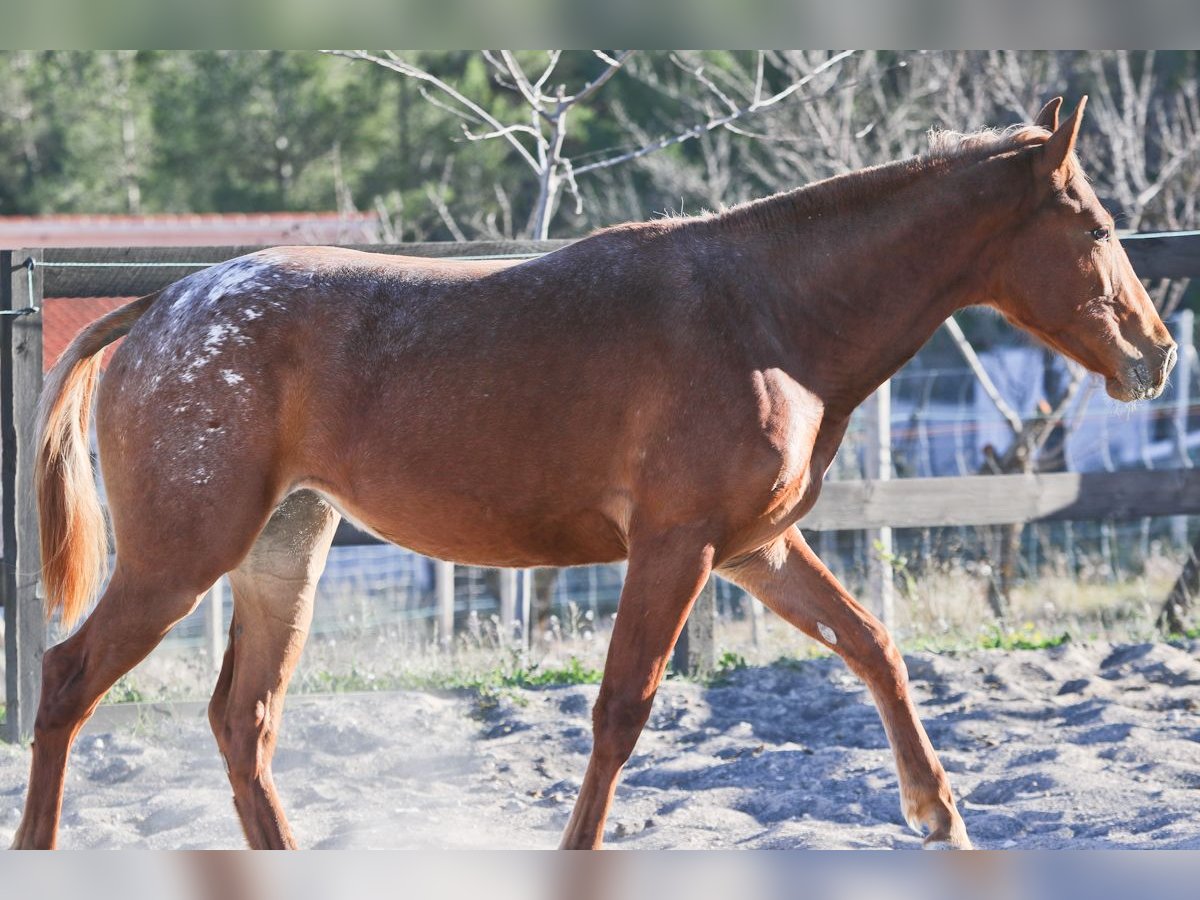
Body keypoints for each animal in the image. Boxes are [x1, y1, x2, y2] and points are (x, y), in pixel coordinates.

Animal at [11, 98, 1171, 854]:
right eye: (1098, 226)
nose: (1157, 354)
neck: (766, 316)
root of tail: (158, 307)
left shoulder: (755, 550)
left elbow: (874, 647)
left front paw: (940, 816)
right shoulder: (676, 547)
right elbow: (622, 708)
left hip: (281, 555)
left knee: (242, 721)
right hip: (180, 558)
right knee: (68, 682)